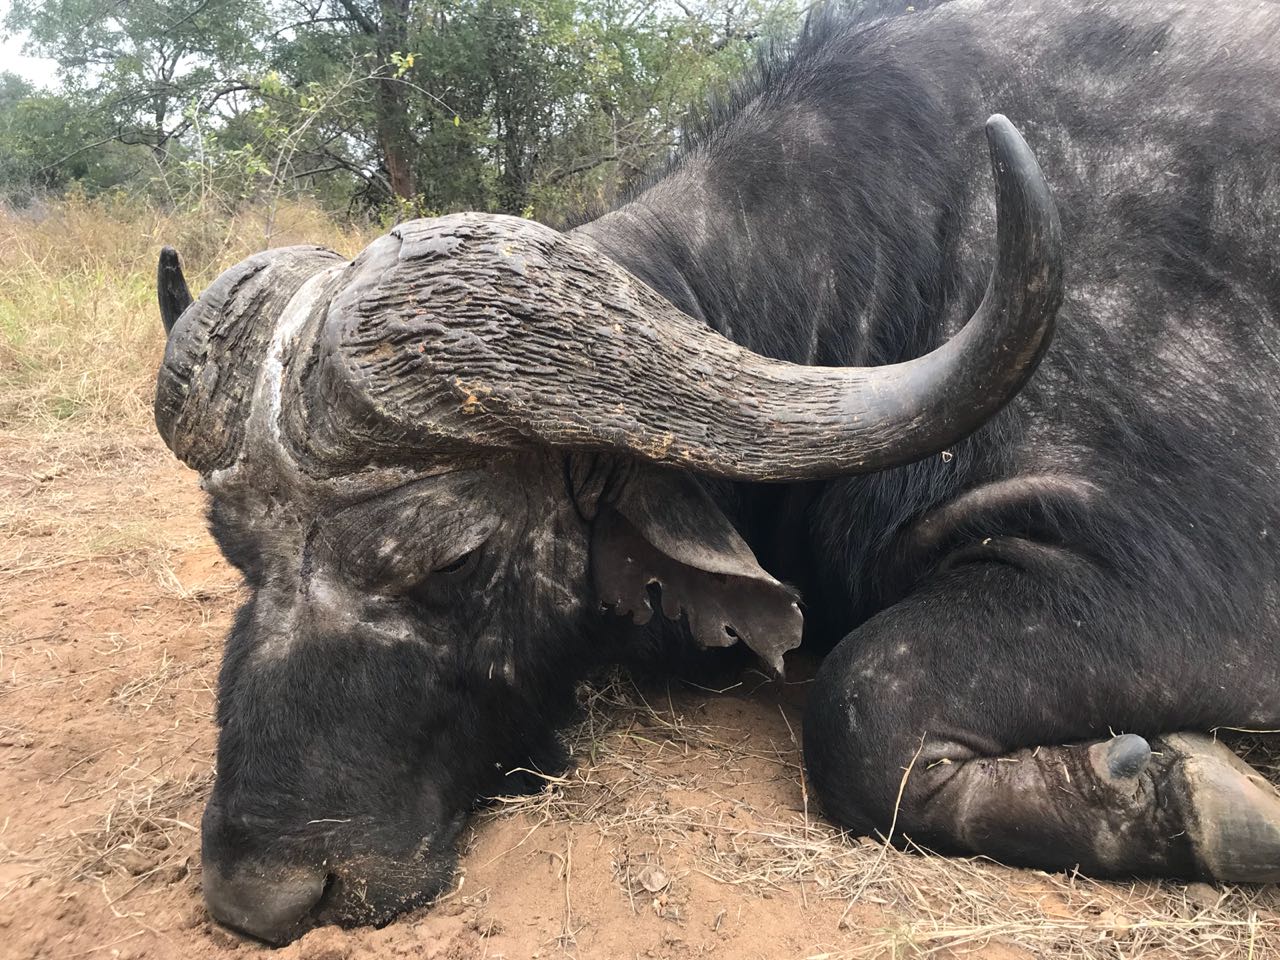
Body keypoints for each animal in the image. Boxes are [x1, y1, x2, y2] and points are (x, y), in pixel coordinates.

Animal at [154, 0, 1280, 945]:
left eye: (453, 558)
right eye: (236, 553)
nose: (259, 894)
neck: (921, 262)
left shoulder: (1192, 598)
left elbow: (862, 702)